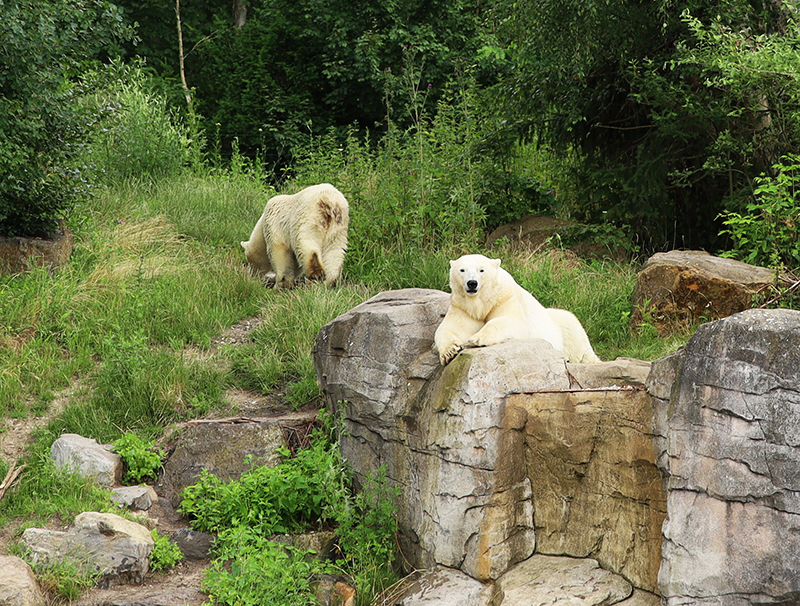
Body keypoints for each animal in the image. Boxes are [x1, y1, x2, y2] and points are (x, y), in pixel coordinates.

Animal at [438, 255, 600, 368]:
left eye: (481, 270)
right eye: (462, 270)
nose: (472, 283)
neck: (481, 303)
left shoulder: (505, 298)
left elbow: (512, 321)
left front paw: (476, 338)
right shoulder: (463, 307)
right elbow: (449, 328)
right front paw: (450, 351)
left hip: (565, 325)